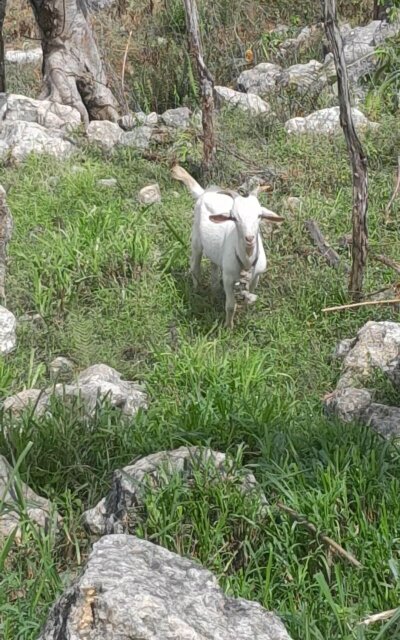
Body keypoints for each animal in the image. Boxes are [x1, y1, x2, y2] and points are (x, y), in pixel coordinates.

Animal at [171, 165, 284, 328]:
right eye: (234, 218)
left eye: (259, 215)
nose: (249, 238)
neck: (247, 262)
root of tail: (204, 193)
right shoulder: (229, 279)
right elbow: (230, 306)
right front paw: (228, 327)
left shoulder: (256, 276)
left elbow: (249, 294)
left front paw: (245, 308)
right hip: (196, 238)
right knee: (195, 265)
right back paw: (196, 290)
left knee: (214, 266)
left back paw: (214, 290)